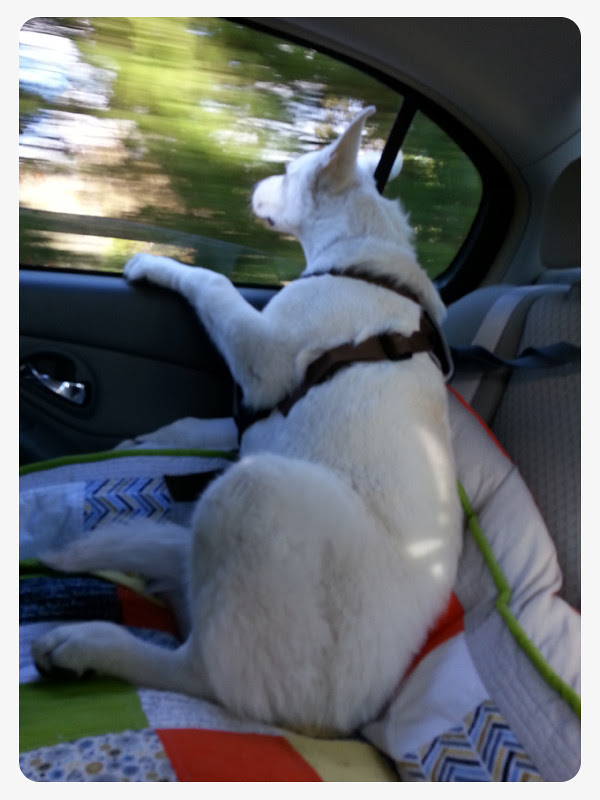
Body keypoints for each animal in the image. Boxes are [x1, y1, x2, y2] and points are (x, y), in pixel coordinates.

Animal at [32, 106, 462, 736]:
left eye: (287, 170)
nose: (253, 186)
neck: (360, 258)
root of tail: (346, 715)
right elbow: (202, 424)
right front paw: (148, 438)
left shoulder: (264, 363)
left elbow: (212, 282)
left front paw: (152, 263)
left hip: (256, 489)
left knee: (208, 672)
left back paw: (87, 642)